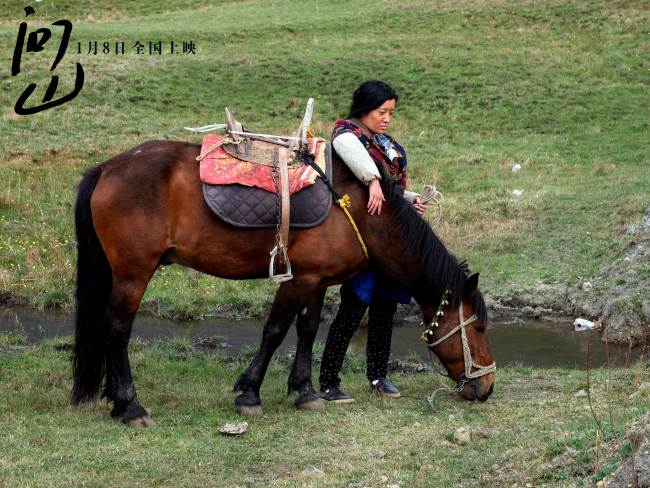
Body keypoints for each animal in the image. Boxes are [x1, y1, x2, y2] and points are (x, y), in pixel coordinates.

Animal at [71, 137, 494, 424]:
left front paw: (305, 391)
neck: (358, 210)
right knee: (117, 330)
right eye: (479, 328)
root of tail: (107, 168)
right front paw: (249, 393)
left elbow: (307, 329)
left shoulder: (317, 280)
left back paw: (114, 399)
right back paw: (130, 406)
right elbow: (275, 331)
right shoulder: (298, 280)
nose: (487, 387)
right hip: (133, 272)